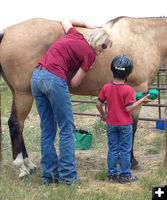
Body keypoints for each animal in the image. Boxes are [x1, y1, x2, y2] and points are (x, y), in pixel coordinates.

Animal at [0, 16, 167, 177]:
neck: (146, 37)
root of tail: (6, 32)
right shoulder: (135, 90)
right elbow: (131, 128)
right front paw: (131, 161)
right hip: (24, 94)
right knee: (15, 124)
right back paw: (22, 167)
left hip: (19, 93)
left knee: (20, 125)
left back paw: (29, 165)